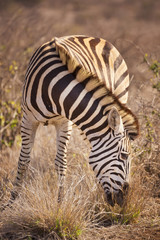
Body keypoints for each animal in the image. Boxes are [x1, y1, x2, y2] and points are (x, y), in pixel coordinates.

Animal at [7, 35, 139, 208]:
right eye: (123, 155)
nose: (124, 200)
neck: (54, 87)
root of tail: (97, 38)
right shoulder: (27, 120)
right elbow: (23, 161)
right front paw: (11, 203)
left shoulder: (64, 123)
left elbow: (61, 163)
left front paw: (59, 205)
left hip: (120, 95)